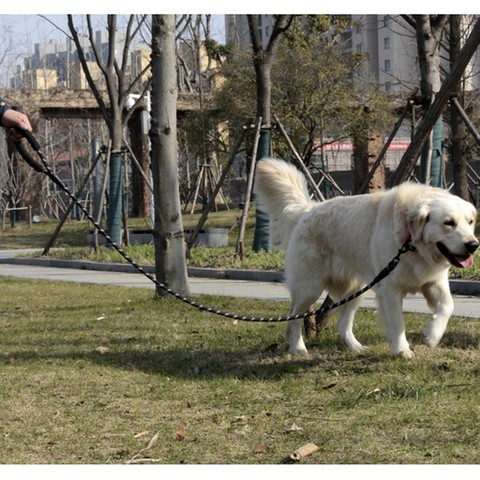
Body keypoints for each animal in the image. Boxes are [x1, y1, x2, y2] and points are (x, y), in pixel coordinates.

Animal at [253, 159, 478, 358]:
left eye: (470, 222)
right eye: (449, 223)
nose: (473, 245)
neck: (411, 244)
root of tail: (308, 210)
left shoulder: (434, 282)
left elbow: (448, 306)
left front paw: (432, 335)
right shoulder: (390, 290)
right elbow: (397, 323)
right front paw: (402, 350)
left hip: (357, 288)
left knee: (342, 323)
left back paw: (356, 348)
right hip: (310, 287)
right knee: (294, 317)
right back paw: (298, 348)